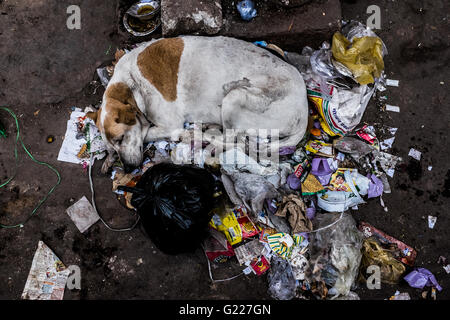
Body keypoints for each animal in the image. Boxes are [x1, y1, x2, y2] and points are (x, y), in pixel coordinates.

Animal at [85, 35, 310, 172]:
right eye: (111, 146)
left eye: (121, 138)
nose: (128, 169)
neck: (132, 82)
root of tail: (304, 113)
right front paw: (109, 158)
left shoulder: (171, 124)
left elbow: (148, 132)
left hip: (235, 95)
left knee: (231, 139)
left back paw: (198, 135)